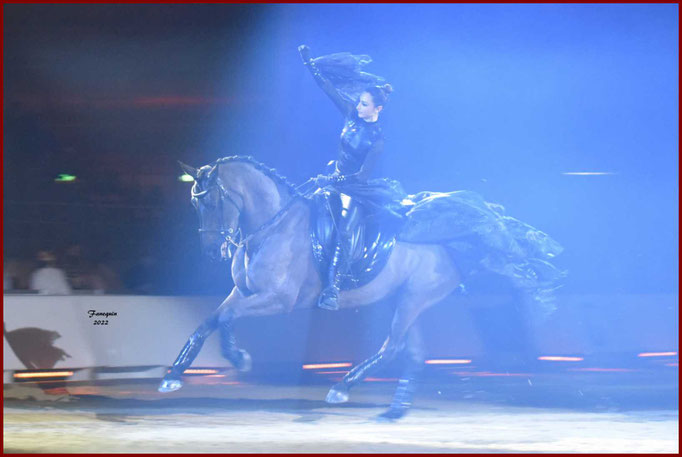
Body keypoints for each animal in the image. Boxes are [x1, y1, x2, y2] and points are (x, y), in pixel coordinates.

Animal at [158, 157, 548, 420]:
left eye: (212, 201)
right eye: (193, 202)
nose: (213, 252)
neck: (273, 226)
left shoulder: (278, 300)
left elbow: (226, 320)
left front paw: (239, 358)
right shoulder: (242, 292)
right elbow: (208, 322)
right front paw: (173, 376)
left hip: (413, 298)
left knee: (394, 346)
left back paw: (342, 388)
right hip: (405, 299)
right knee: (412, 352)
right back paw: (393, 410)